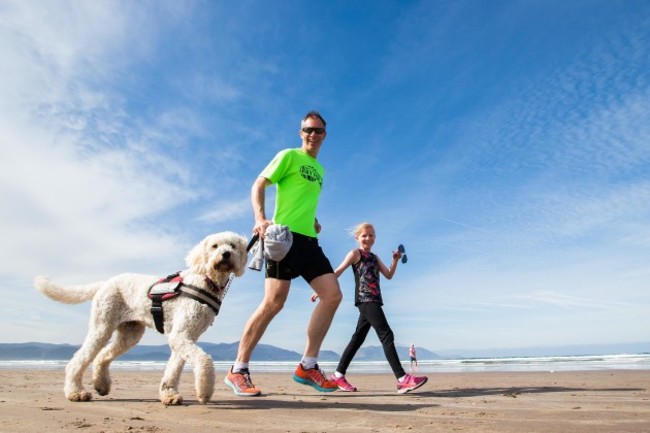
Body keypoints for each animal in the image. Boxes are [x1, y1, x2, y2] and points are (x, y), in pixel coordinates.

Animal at [34, 231, 249, 404]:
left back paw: (101, 385)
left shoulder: (186, 337)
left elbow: (174, 368)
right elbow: (204, 361)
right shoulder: (180, 335)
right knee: (79, 360)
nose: (226, 254)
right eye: (215, 246)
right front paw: (204, 392)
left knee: (103, 356)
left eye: (233, 246)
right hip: (102, 326)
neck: (205, 280)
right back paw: (76, 392)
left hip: (130, 333)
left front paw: (169, 394)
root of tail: (104, 283)